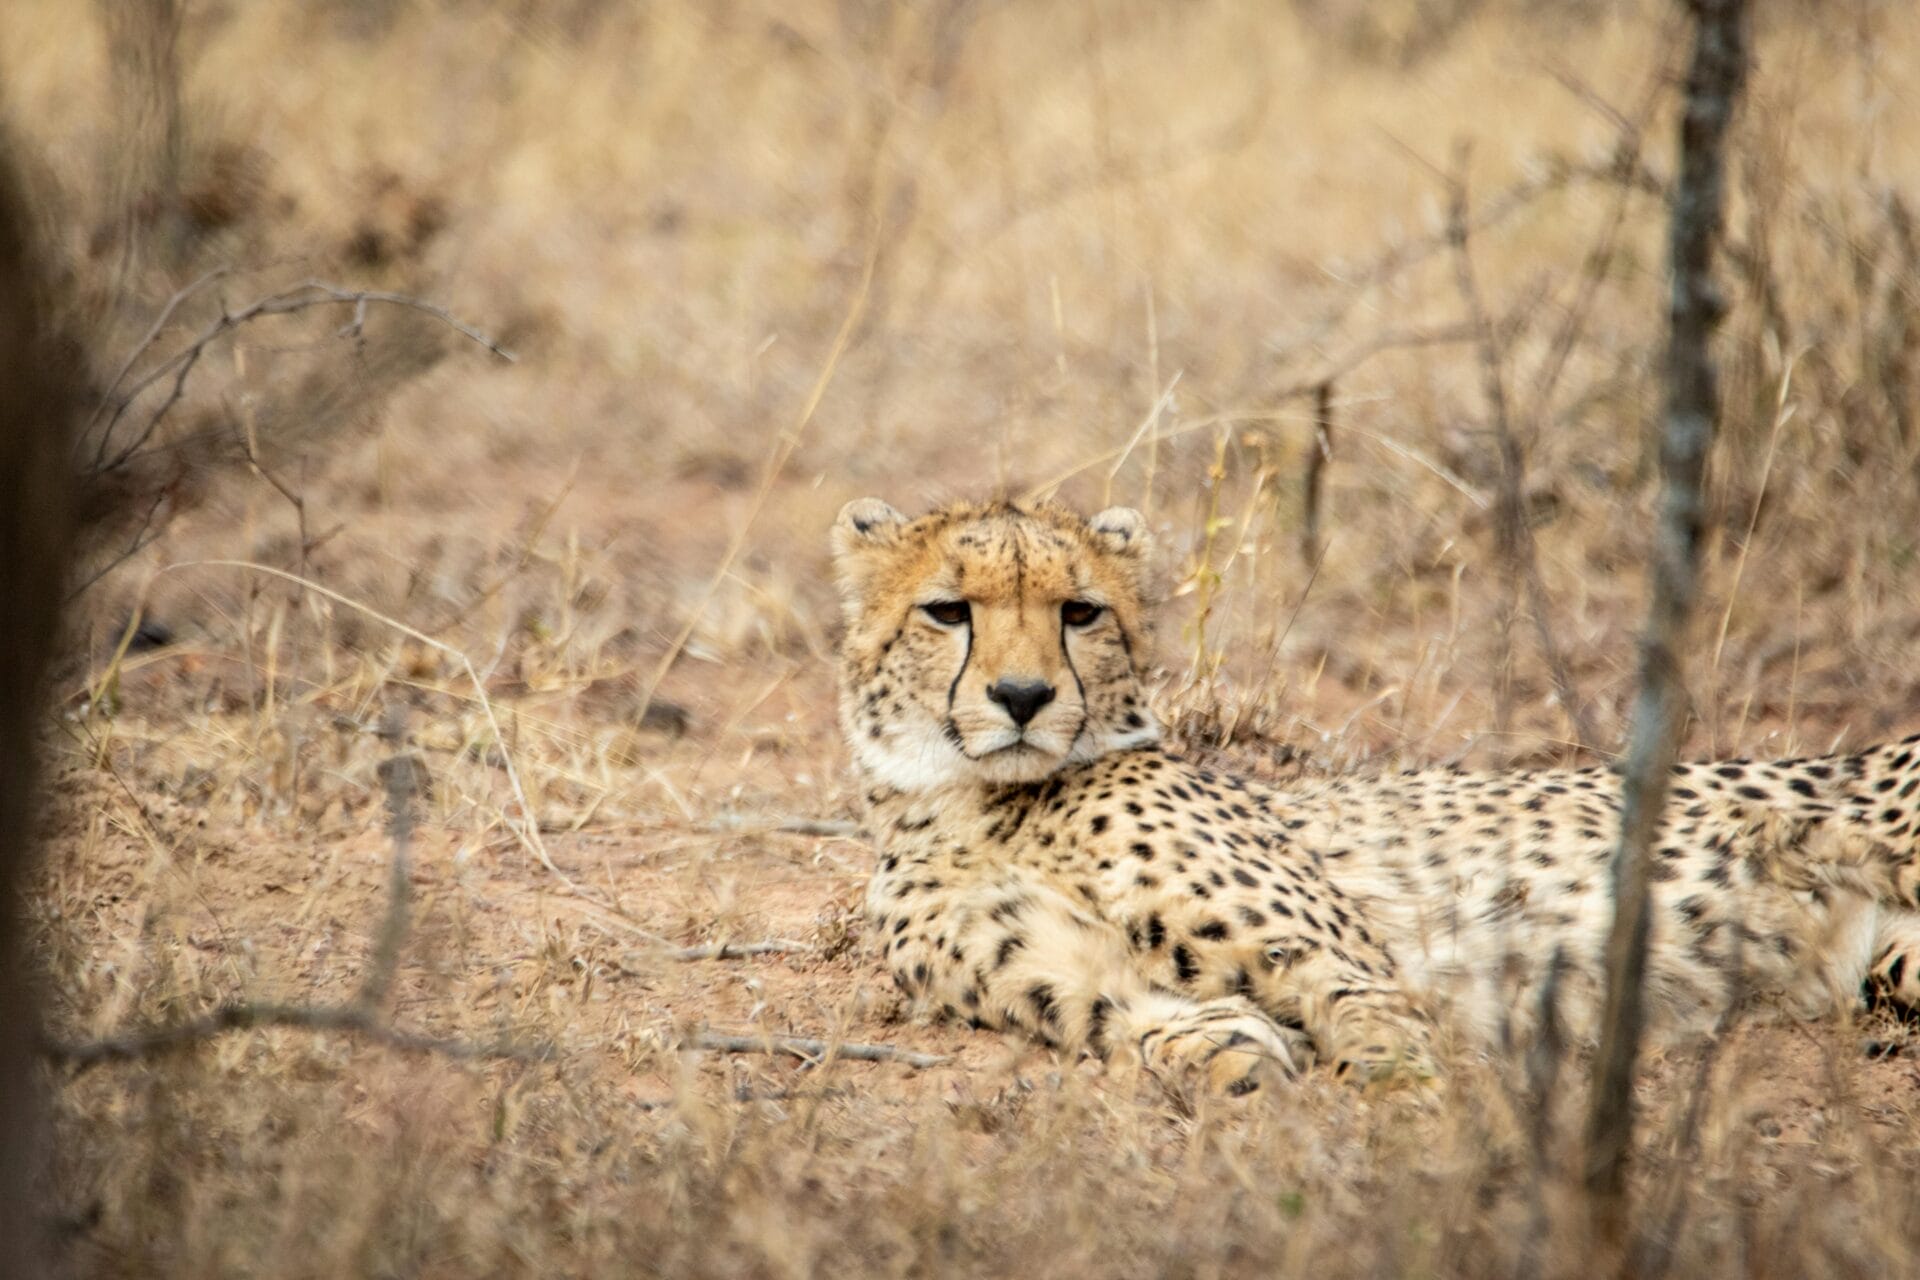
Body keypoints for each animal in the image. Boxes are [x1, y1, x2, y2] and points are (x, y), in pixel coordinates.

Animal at [831, 495, 1920, 1094]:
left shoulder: (1345, 961)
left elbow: (1380, 1029)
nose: (1022, 697)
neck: (987, 805)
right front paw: (1231, 1054)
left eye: (1080, 612)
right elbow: (1152, 1021)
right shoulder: (1071, 978)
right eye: (947, 611)